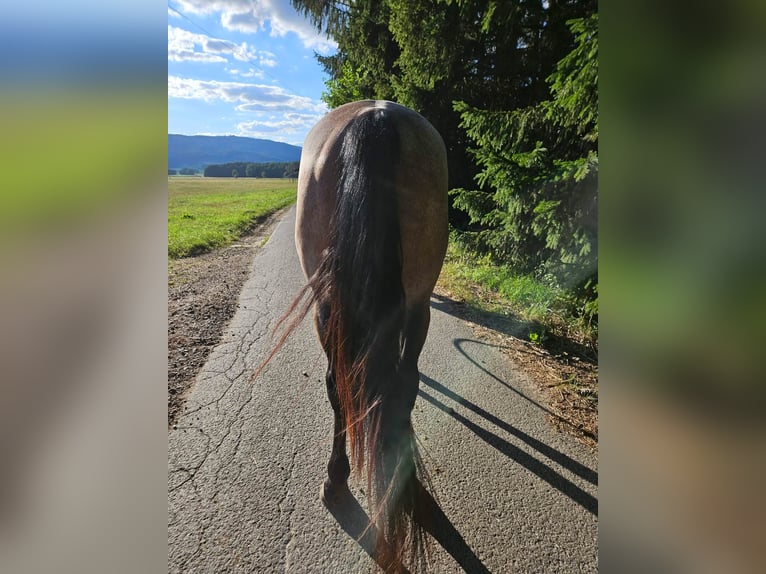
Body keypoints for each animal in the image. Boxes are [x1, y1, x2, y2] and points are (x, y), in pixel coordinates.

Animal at [267, 100, 448, 572]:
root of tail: (378, 117)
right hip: (418, 300)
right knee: (404, 382)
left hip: (329, 307)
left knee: (339, 383)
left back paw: (336, 482)